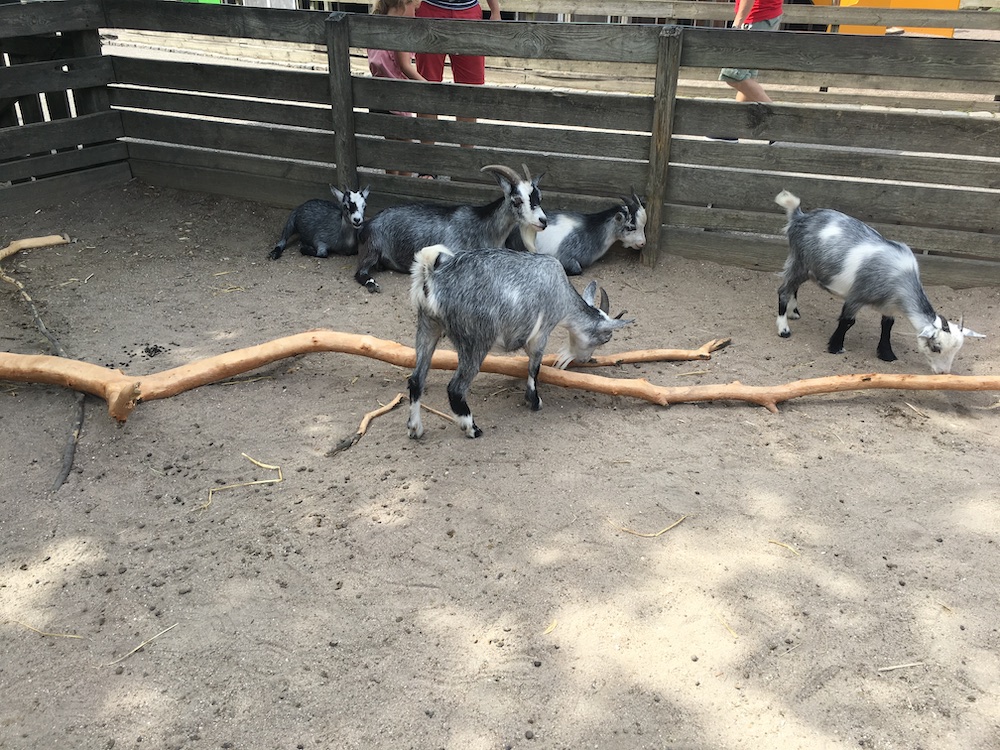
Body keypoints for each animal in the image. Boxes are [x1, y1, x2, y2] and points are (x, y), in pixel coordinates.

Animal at [348, 164, 544, 294]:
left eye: (539, 197)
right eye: (517, 200)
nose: (543, 221)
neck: (482, 228)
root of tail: (367, 226)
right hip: (373, 247)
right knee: (360, 271)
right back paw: (372, 283)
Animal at [408, 244, 632, 438]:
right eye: (605, 338)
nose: (584, 360)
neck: (562, 294)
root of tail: (432, 278)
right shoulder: (542, 331)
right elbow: (534, 367)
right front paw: (534, 401)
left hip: (428, 326)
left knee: (416, 379)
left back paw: (415, 428)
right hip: (475, 339)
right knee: (456, 388)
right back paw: (472, 428)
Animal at [772, 191, 984, 374]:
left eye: (956, 350)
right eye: (935, 347)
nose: (943, 372)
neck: (901, 278)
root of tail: (799, 216)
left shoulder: (889, 305)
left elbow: (887, 326)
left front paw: (887, 354)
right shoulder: (856, 296)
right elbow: (847, 321)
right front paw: (835, 347)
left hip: (805, 268)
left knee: (793, 288)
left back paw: (793, 313)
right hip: (799, 262)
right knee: (783, 290)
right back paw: (784, 329)